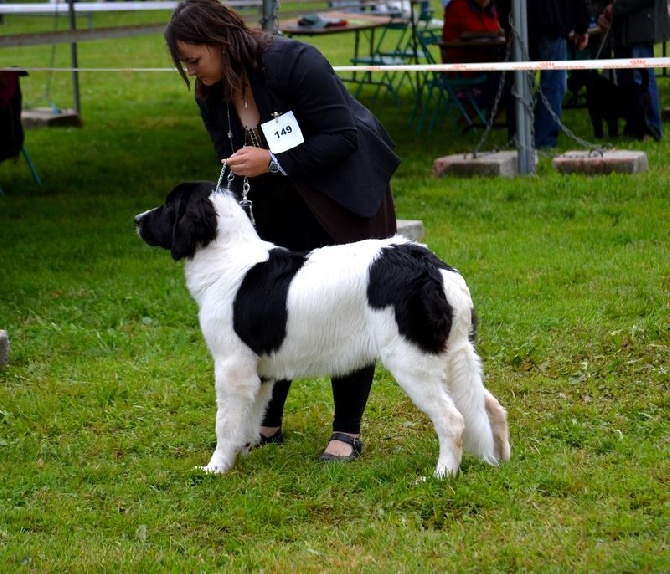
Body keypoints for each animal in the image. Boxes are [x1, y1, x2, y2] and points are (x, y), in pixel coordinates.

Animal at [136, 182, 512, 480]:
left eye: (168, 206)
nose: (137, 220)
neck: (227, 260)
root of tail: (435, 269)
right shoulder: (261, 371)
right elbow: (250, 417)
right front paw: (244, 452)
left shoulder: (232, 366)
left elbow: (226, 422)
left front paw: (215, 467)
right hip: (455, 354)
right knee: (490, 407)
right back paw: (500, 461)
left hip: (411, 361)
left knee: (453, 419)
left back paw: (442, 475)